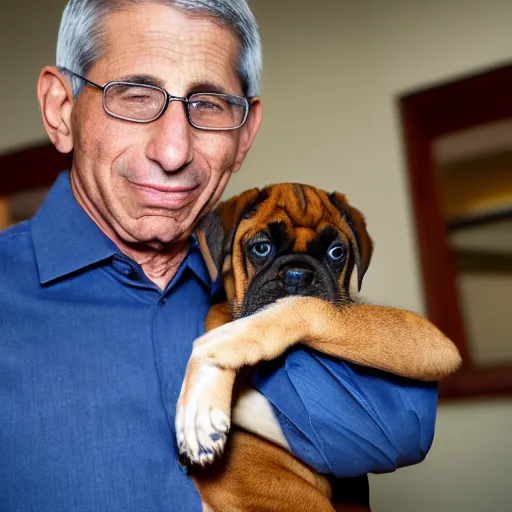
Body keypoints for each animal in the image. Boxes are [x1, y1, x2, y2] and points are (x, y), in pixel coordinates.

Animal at [175, 184, 460, 512]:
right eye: (262, 248)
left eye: (336, 253)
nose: (298, 275)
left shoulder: (431, 342)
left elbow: (301, 307)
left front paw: (203, 389)